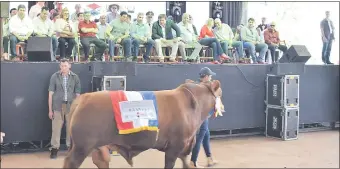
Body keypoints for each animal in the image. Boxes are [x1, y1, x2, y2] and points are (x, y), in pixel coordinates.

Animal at [63, 80, 223, 168]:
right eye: (220, 94)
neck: (192, 104)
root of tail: (83, 98)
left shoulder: (185, 147)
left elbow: (186, 164)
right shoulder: (174, 147)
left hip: (98, 147)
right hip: (82, 146)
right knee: (70, 162)